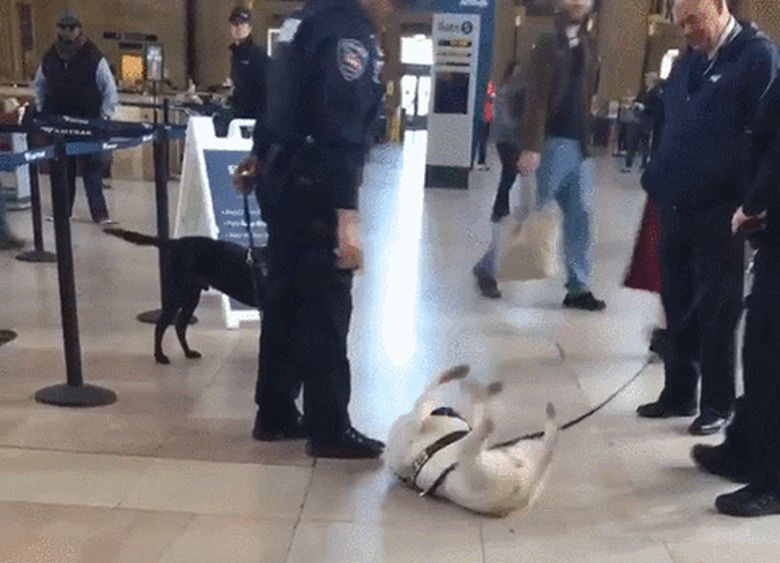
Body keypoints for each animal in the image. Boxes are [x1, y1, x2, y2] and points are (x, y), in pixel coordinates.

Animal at [103, 229, 266, 366]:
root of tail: (175, 242)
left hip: (190, 298)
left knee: (179, 325)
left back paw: (188, 352)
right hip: (179, 295)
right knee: (161, 326)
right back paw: (160, 356)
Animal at [386, 366, 556, 516]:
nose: (448, 410)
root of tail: (523, 494)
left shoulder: (418, 420)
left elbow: (428, 391)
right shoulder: (417, 421)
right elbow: (426, 393)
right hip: (474, 456)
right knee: (489, 424)